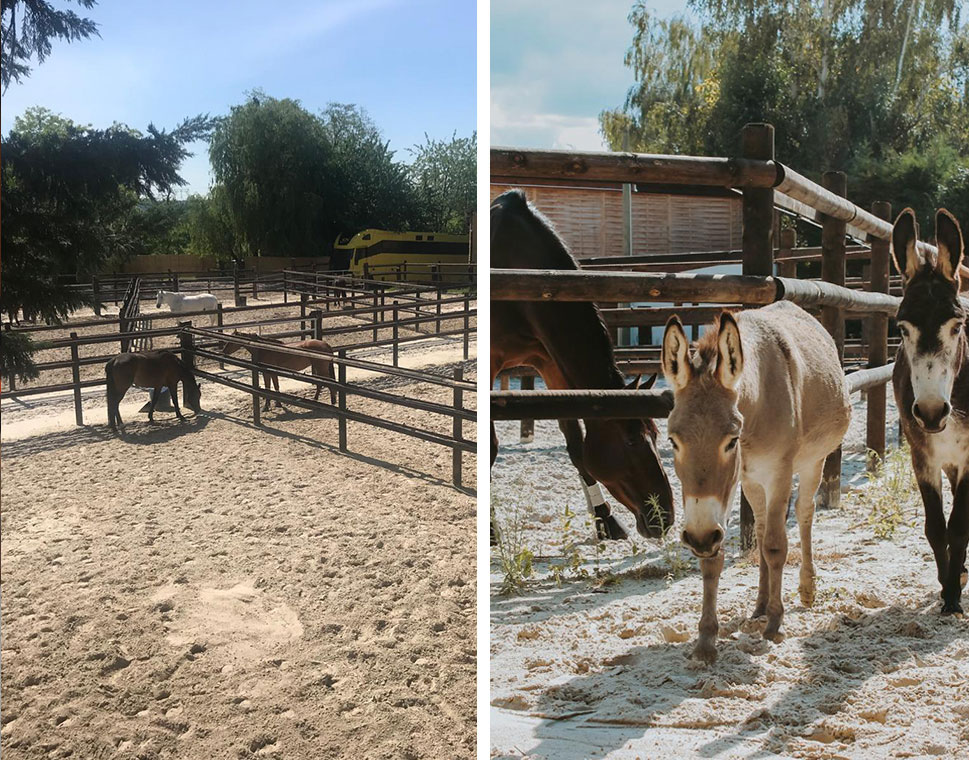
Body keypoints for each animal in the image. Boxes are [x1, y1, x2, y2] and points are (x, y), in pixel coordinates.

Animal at [492, 189, 672, 540]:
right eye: (631, 440)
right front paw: (491, 532)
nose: (665, 516)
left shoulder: (549, 361)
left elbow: (575, 442)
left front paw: (605, 519)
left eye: (657, 435)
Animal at [660, 302, 852, 660]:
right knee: (761, 529)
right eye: (673, 441)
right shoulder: (731, 486)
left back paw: (806, 590)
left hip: (812, 463)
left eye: (731, 440)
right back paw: (760, 604)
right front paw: (706, 639)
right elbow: (717, 557)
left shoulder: (778, 473)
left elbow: (777, 546)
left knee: (803, 514)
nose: (699, 537)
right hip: (752, 483)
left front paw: (775, 624)